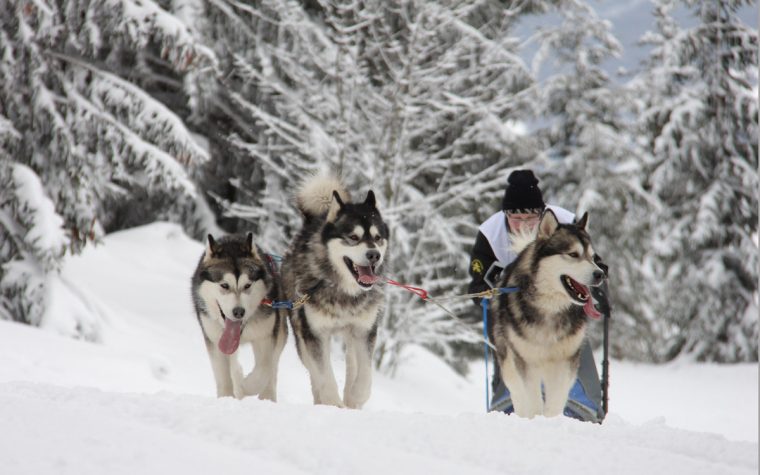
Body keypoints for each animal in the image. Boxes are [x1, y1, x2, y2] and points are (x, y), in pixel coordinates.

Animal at [190, 234, 288, 402]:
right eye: (224, 285)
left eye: (247, 285)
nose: (238, 312)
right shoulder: (215, 341)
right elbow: (223, 377)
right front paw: (227, 396)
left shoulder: (266, 337)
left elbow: (264, 369)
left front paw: (246, 385)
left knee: (272, 367)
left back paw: (266, 395)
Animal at [284, 175, 392, 410]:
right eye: (353, 237)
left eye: (378, 237)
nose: (374, 255)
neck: (344, 292)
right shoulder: (315, 334)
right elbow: (324, 376)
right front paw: (333, 404)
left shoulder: (364, 330)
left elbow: (365, 375)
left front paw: (356, 398)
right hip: (301, 333)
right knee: (315, 373)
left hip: (351, 334)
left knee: (353, 363)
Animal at [492, 210, 604, 418]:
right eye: (573, 254)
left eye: (593, 257)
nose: (601, 274)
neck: (550, 308)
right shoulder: (527, 363)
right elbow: (534, 401)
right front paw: (536, 419)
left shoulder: (565, 363)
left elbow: (555, 402)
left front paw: (550, 420)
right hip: (510, 364)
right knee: (518, 395)